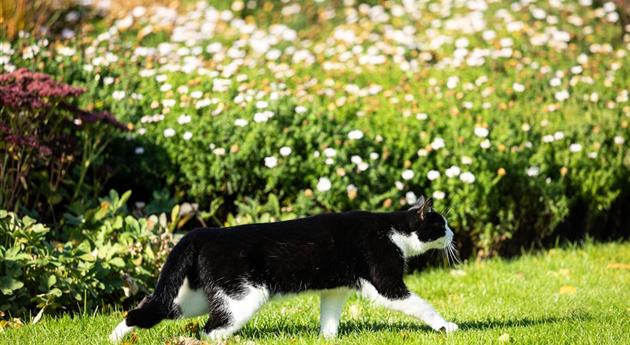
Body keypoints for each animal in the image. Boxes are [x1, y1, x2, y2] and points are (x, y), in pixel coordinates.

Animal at [111, 196, 460, 342]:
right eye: (441, 225)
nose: (454, 234)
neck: (392, 230)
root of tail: (201, 233)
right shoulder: (386, 281)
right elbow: (421, 305)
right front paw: (446, 326)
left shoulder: (334, 290)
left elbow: (329, 317)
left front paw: (327, 339)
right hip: (242, 297)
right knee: (212, 330)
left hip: (194, 298)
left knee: (147, 310)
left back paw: (115, 337)